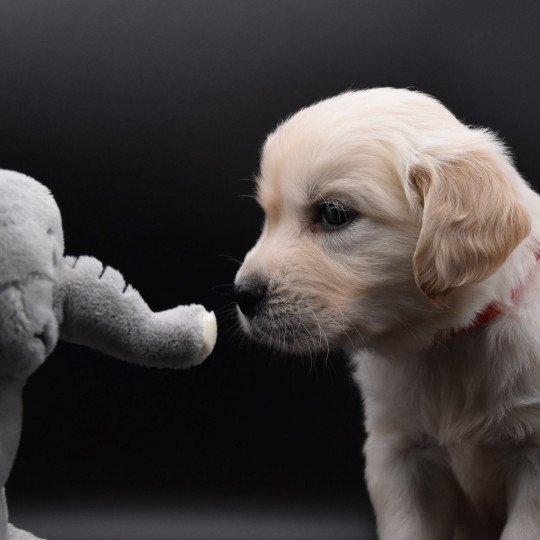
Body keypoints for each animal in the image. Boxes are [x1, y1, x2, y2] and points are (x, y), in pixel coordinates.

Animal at [234, 89, 540, 540]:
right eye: (269, 216)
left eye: (334, 214)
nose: (243, 295)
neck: (451, 344)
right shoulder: (400, 455)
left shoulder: (533, 459)